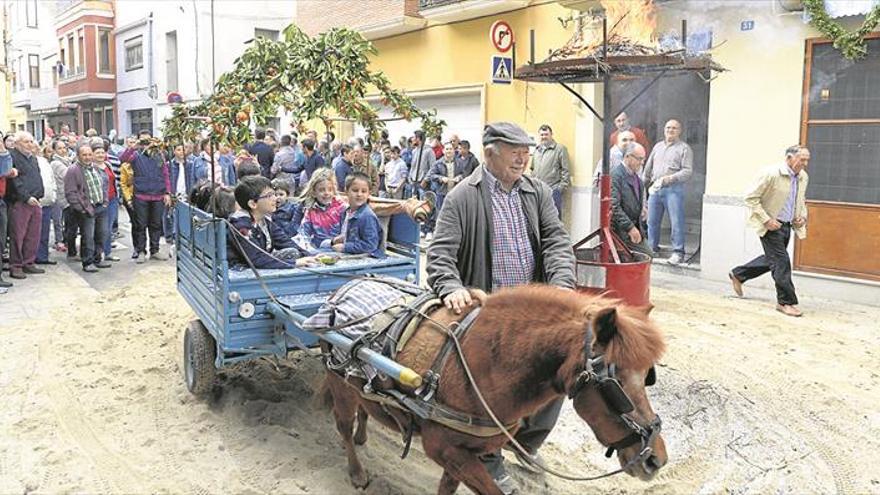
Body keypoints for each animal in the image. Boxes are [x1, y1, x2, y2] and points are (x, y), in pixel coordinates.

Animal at [324, 284, 668, 494]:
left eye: (647, 377)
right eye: (615, 386)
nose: (656, 459)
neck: (485, 363)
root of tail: (342, 288)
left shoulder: (463, 452)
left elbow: (448, 488)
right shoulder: (443, 448)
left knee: (363, 406)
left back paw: (364, 432)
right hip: (339, 384)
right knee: (342, 425)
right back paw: (356, 470)